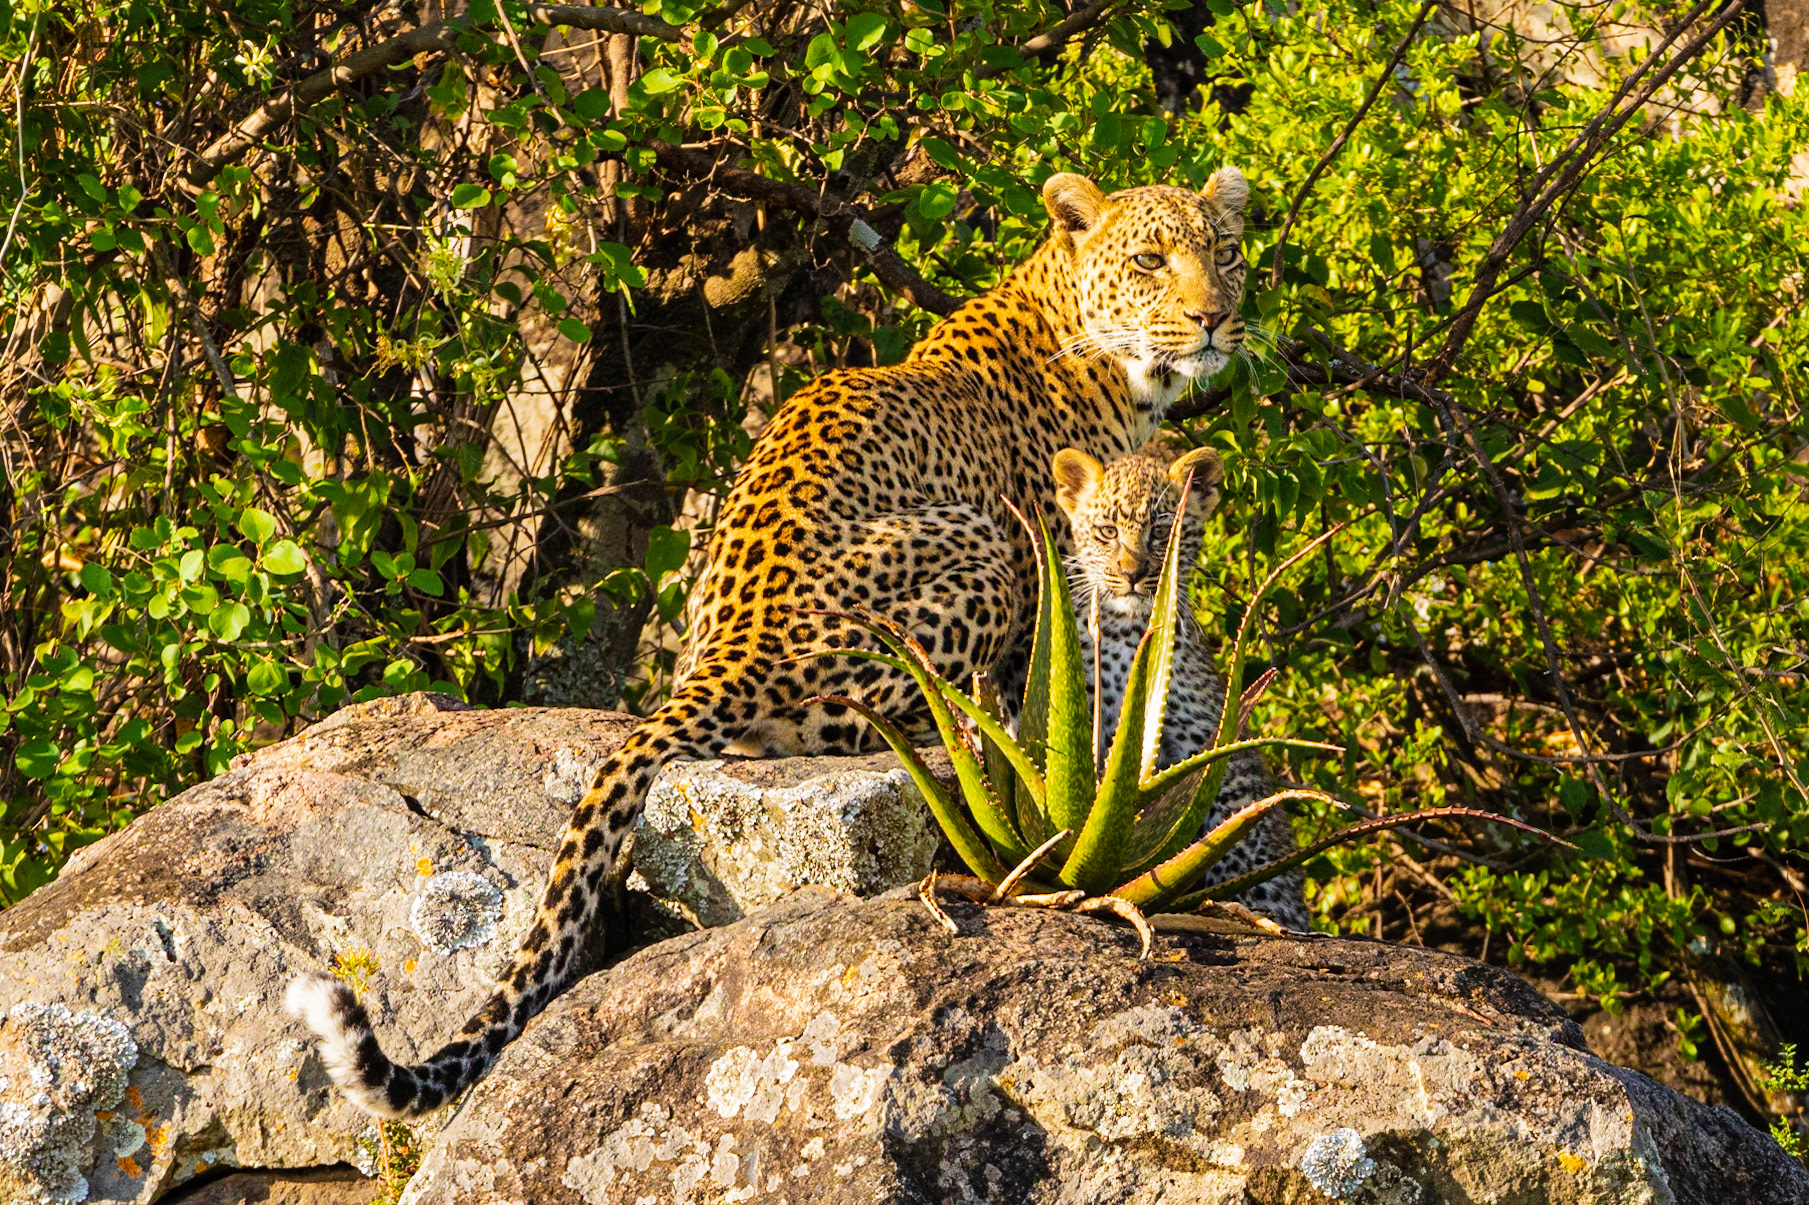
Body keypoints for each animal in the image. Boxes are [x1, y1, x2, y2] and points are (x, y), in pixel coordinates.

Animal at [286, 166, 1253, 1118]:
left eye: (1224, 252)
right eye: (1150, 259)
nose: (1213, 317)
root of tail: (730, 650)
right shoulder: (1056, 571)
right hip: (973, 553)